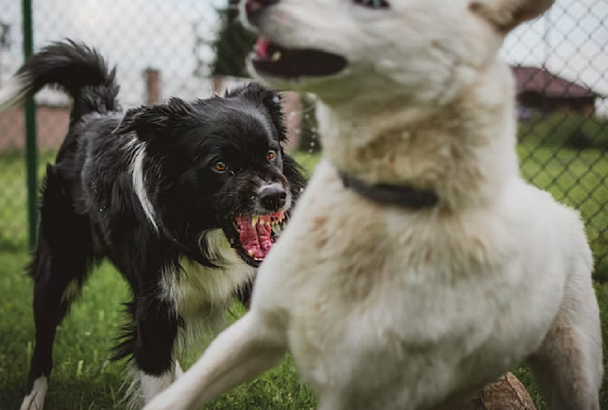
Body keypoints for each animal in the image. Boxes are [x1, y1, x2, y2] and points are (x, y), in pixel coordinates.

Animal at [0, 40, 304, 408]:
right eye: (220, 165)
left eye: (271, 153)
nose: (276, 196)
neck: (198, 232)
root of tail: (92, 113)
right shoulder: (154, 309)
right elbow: (155, 374)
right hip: (57, 266)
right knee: (43, 343)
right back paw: (32, 399)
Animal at [144, 0, 604, 408]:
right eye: (220, 165)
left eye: (272, 153)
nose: (254, 2)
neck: (376, 212)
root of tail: (558, 207)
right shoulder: (258, 329)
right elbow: (175, 393)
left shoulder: (366, 390)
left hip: (573, 365)